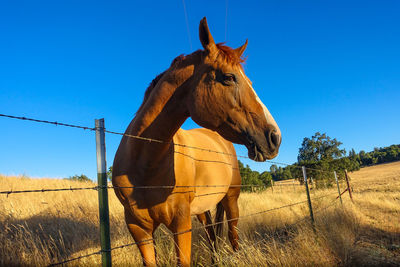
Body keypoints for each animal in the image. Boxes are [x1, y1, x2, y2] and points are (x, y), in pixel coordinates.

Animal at [112, 17, 282, 266]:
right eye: (228, 77)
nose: (274, 137)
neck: (145, 164)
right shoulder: (138, 229)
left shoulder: (181, 223)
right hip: (203, 209)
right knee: (212, 236)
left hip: (231, 200)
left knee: (232, 236)